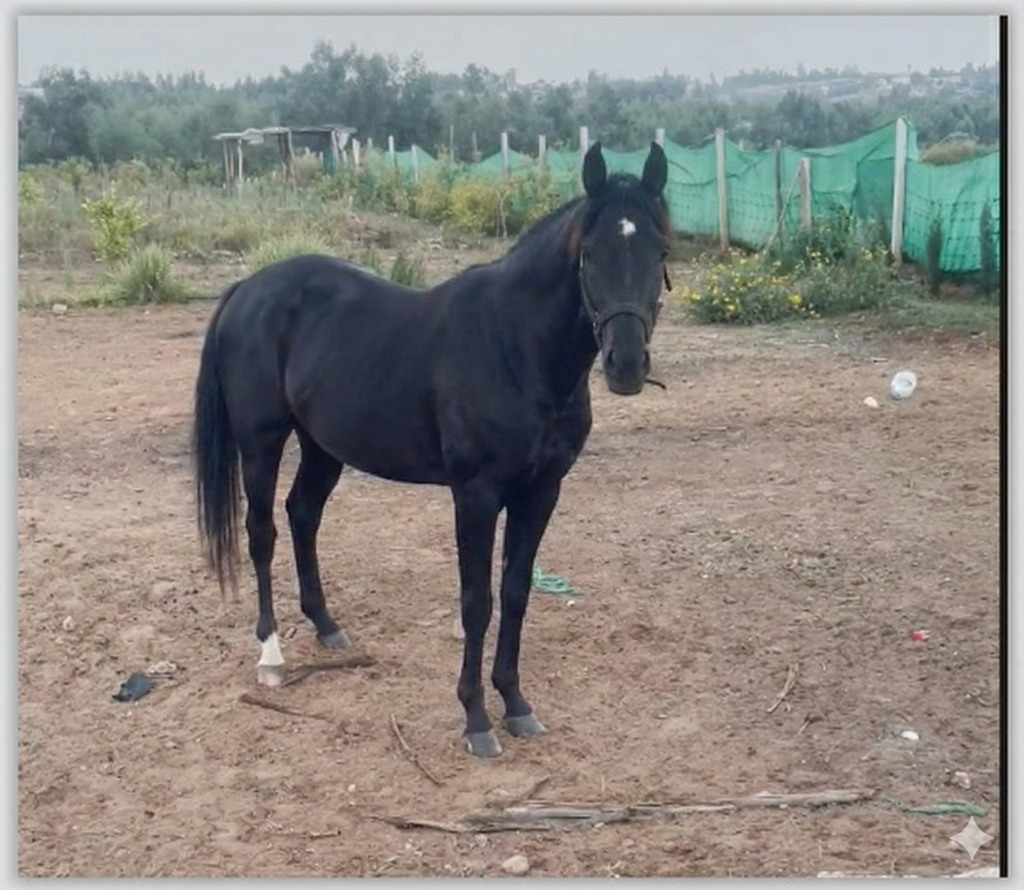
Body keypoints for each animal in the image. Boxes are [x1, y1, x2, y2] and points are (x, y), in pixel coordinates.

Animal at [192, 141, 672, 757]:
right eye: (589, 254)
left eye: (659, 249)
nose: (627, 364)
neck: (515, 348)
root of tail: (247, 289)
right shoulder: (476, 495)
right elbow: (477, 601)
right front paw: (476, 718)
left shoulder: (542, 491)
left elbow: (516, 592)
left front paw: (516, 704)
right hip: (261, 443)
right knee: (262, 533)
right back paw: (271, 656)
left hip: (323, 445)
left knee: (302, 515)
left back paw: (327, 627)